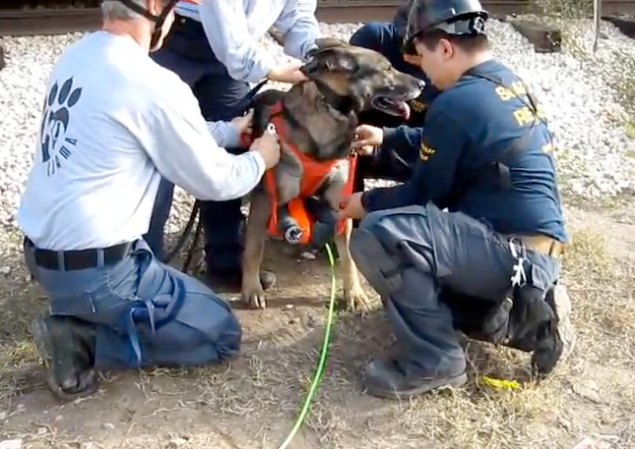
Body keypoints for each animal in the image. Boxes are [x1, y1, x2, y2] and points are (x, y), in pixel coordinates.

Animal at [241, 37, 424, 308]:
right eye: (387, 69)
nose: (422, 83)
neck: (329, 110)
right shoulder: (265, 199)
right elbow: (254, 247)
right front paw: (252, 288)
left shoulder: (340, 201)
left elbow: (348, 256)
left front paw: (354, 293)